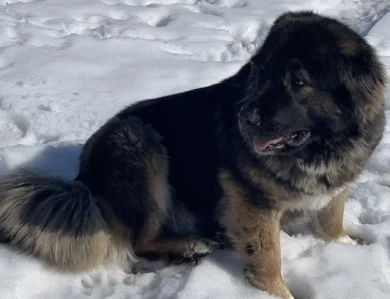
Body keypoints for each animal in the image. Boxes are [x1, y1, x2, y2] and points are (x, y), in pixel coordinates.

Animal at [0, 10, 386, 298]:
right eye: (261, 73)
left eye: (299, 82)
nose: (245, 118)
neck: (320, 146)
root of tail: (84, 183)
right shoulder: (252, 202)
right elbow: (268, 257)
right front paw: (277, 291)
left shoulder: (332, 188)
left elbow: (332, 218)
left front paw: (347, 246)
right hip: (141, 143)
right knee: (141, 240)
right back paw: (191, 245)